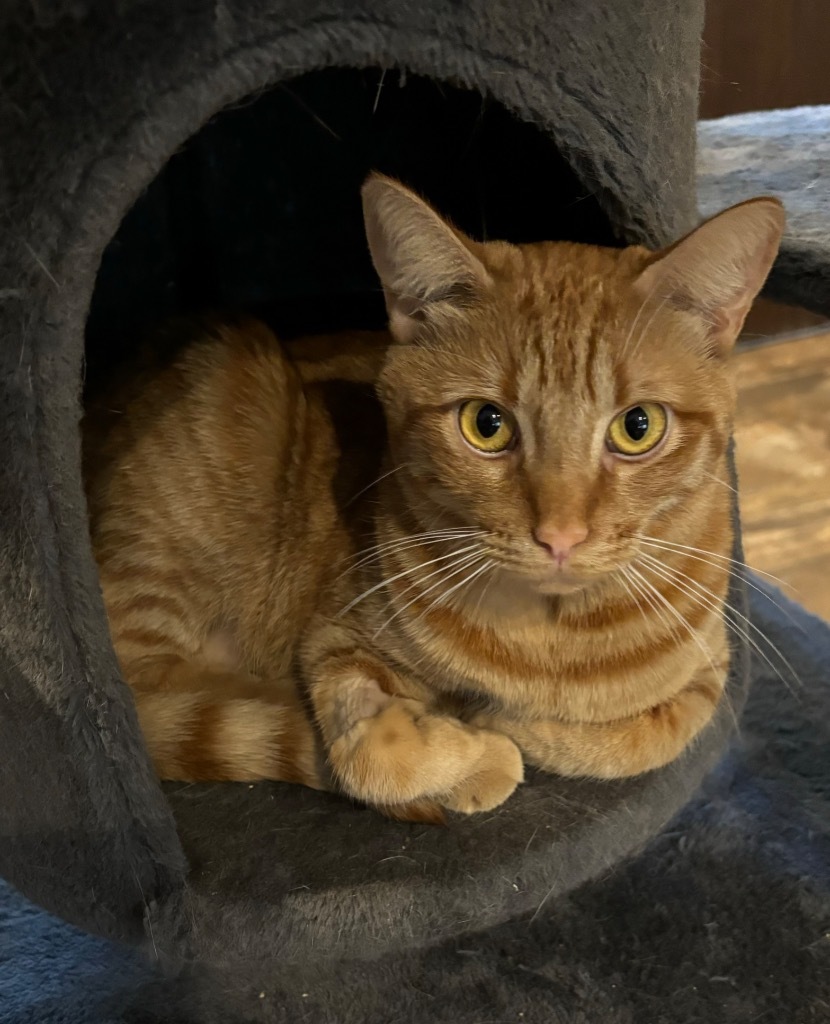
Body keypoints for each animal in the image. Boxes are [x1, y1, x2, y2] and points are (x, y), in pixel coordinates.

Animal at [84, 172, 785, 819]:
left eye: (637, 427)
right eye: (487, 424)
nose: (560, 536)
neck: (552, 641)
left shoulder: (713, 667)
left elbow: (641, 738)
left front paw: (512, 725)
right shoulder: (335, 637)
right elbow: (372, 751)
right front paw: (476, 752)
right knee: (167, 701)